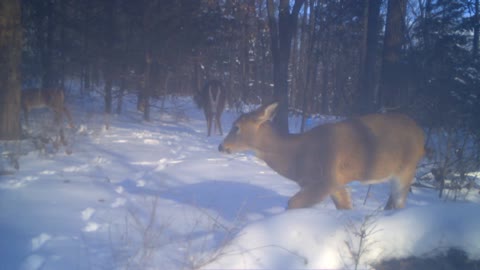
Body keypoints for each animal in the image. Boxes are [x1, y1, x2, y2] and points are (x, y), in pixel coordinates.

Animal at [218, 102, 424, 210]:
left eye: (236, 127)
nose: (221, 146)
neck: (296, 156)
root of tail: (421, 135)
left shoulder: (328, 179)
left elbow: (292, 203)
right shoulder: (335, 184)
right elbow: (345, 206)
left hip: (406, 169)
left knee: (399, 203)